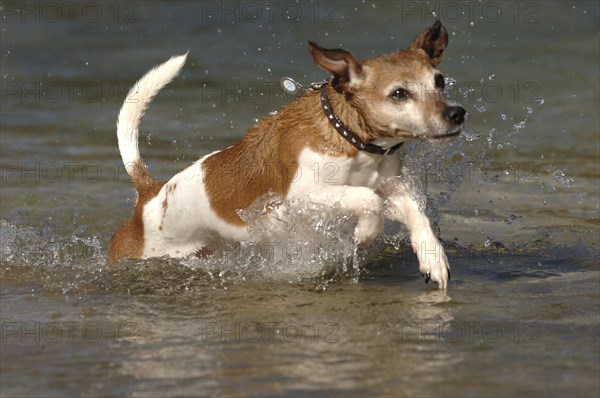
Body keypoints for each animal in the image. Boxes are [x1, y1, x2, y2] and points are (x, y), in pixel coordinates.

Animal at [109, 21, 464, 290]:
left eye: (439, 81)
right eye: (399, 94)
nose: (457, 113)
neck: (347, 135)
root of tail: (150, 194)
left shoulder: (391, 186)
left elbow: (414, 211)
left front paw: (433, 257)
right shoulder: (301, 198)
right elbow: (367, 199)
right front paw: (365, 232)